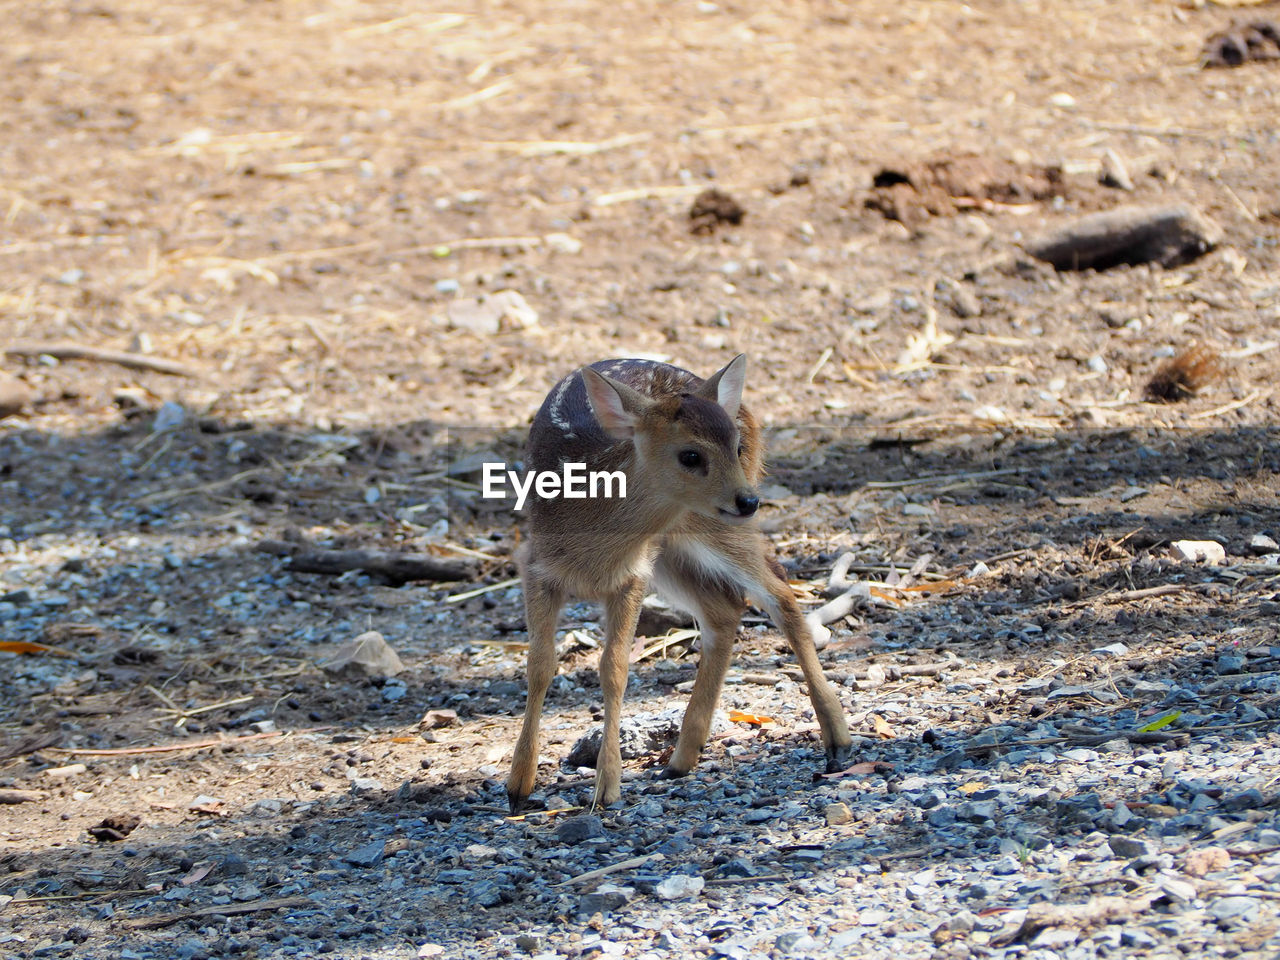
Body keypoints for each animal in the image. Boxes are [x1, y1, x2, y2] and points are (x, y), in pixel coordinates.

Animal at [506, 355, 849, 814]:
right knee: (726, 609)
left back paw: (837, 739)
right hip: (673, 551)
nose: (749, 501)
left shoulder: (632, 575)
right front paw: (518, 787)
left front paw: (606, 787)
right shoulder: (536, 566)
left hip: (707, 530)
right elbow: (540, 665)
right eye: (690, 455)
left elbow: (614, 668)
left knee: (778, 592)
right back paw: (681, 758)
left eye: (735, 447)